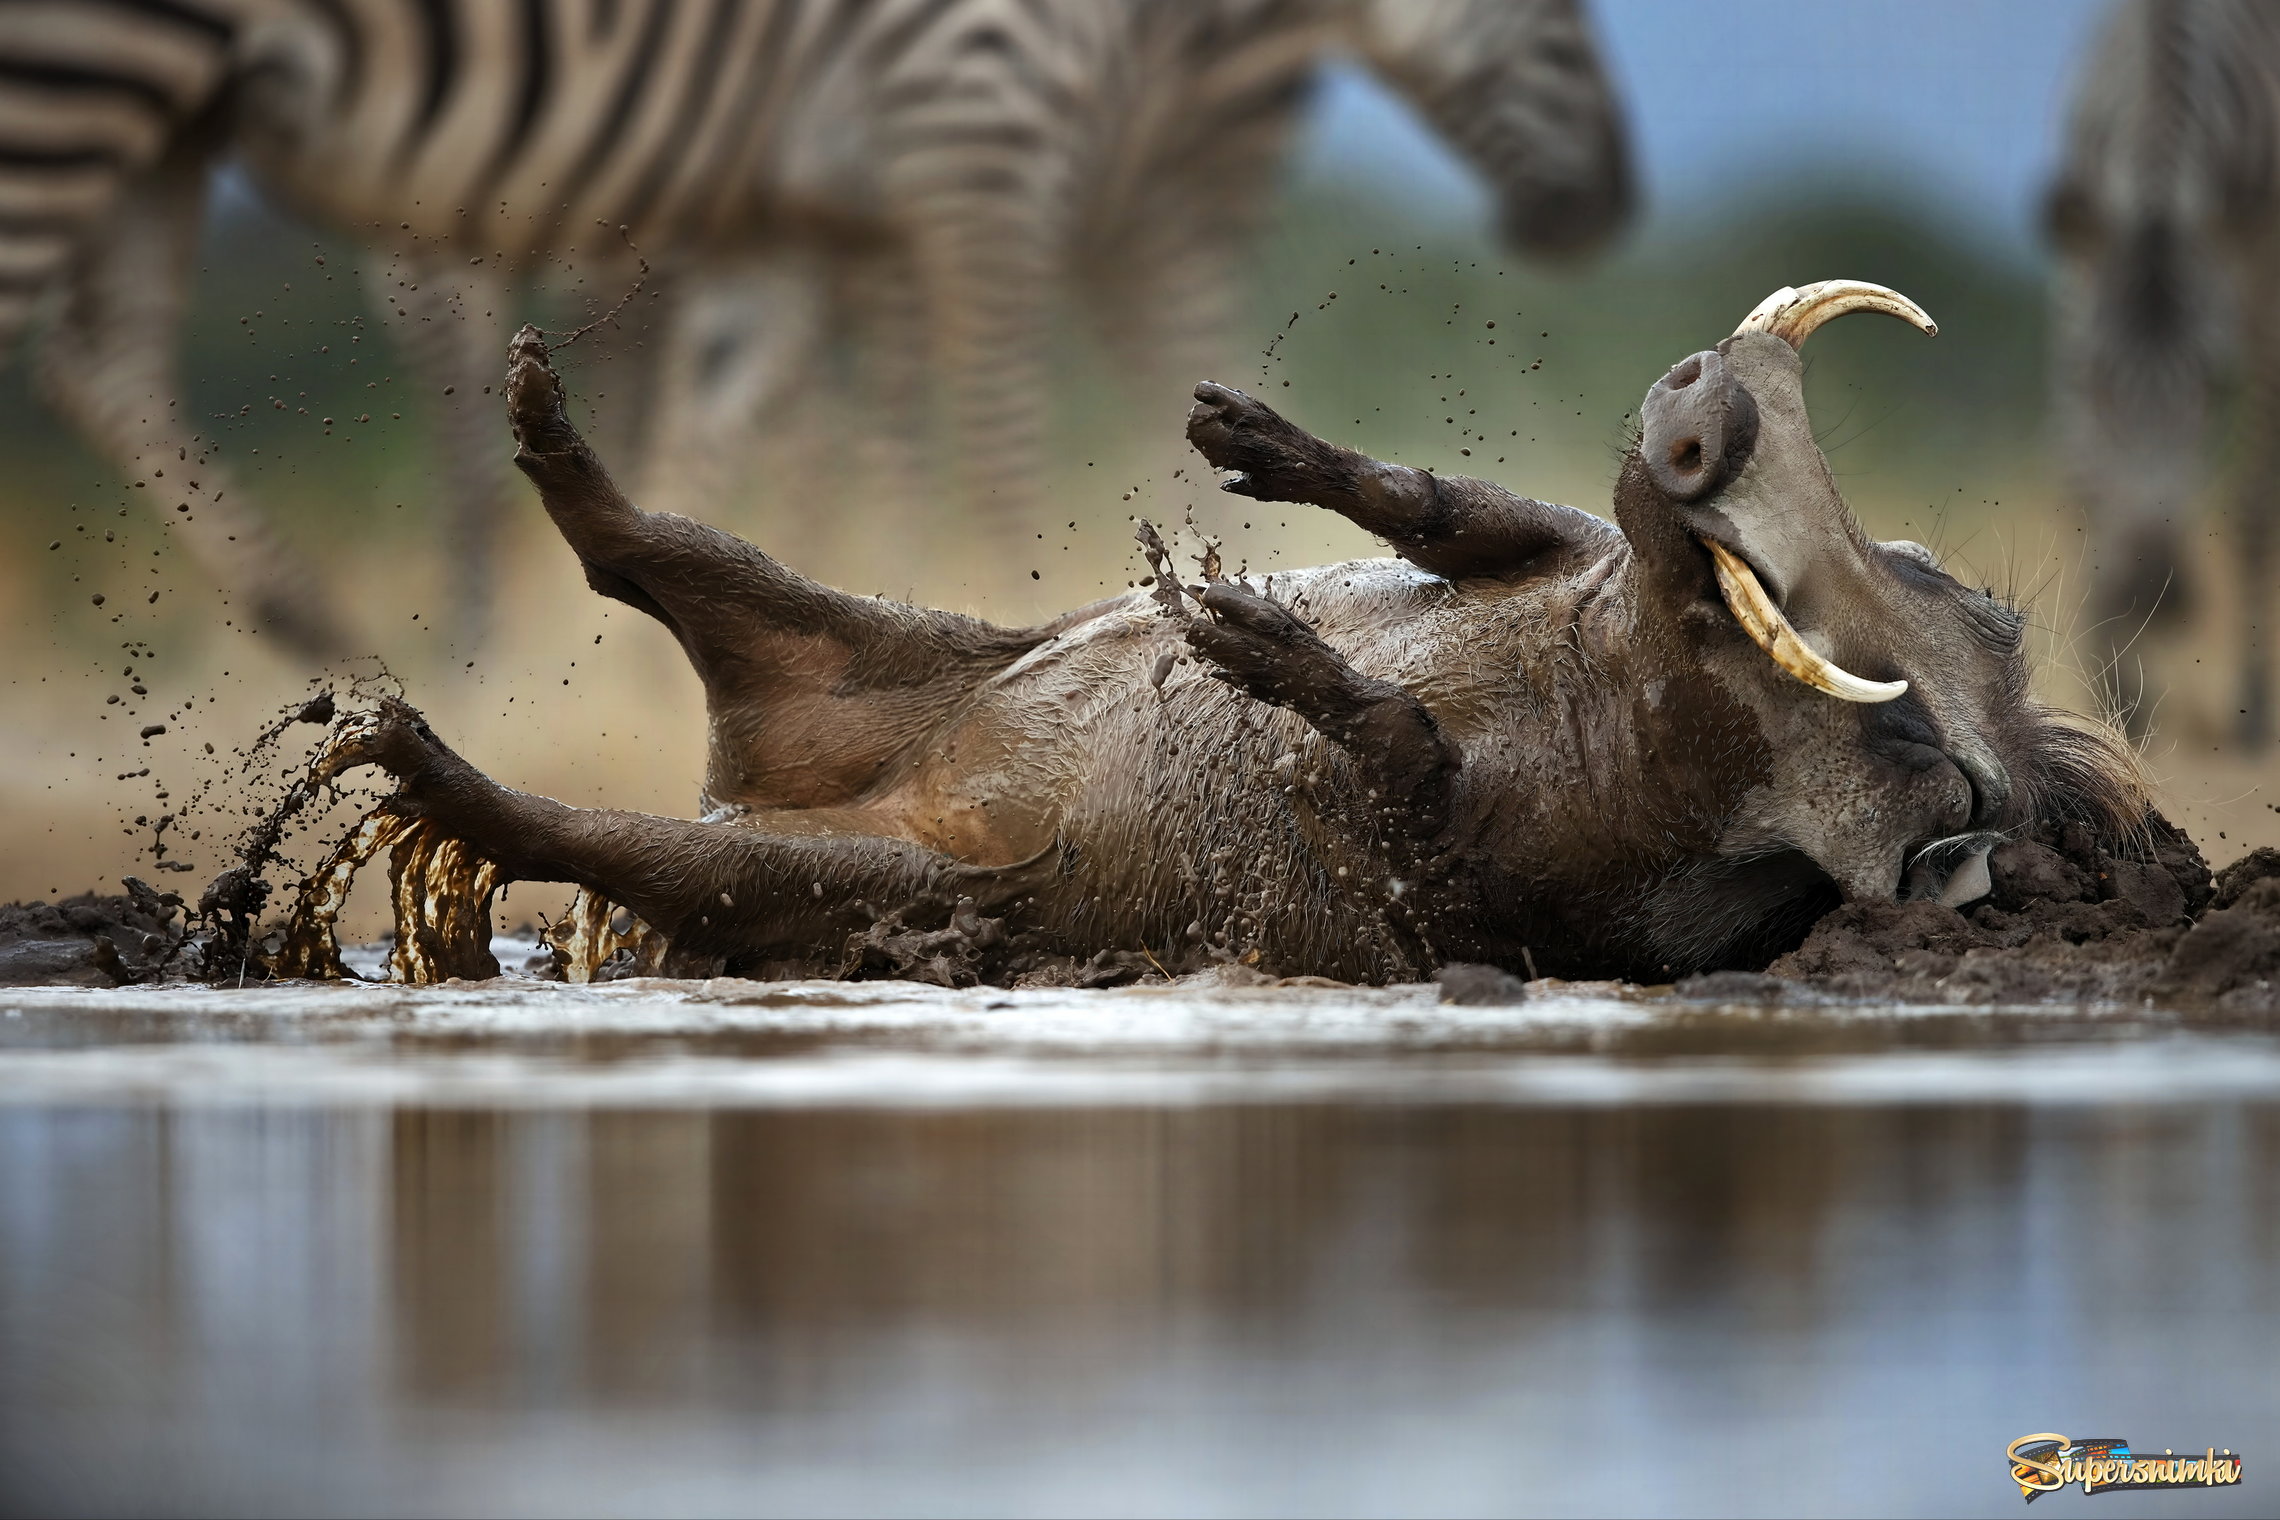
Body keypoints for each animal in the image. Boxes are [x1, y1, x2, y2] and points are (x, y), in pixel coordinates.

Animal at [4, 0, 1641, 656]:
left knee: (105, 345)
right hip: (94, 57)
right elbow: (978, 422)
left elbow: (735, 424)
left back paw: (314, 618)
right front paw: (1008, 589)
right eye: (1560, 16)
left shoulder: (807, 218)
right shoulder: (973, 139)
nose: (1612, 208)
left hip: (173, 124)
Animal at [2052, 0, 2280, 742]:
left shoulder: (2259, 278)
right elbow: (2086, 480)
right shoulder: (2079, 272)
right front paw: (2116, 683)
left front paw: (2251, 702)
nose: (2153, 590)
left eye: (2217, 388)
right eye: (2095, 382)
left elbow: (2255, 508)